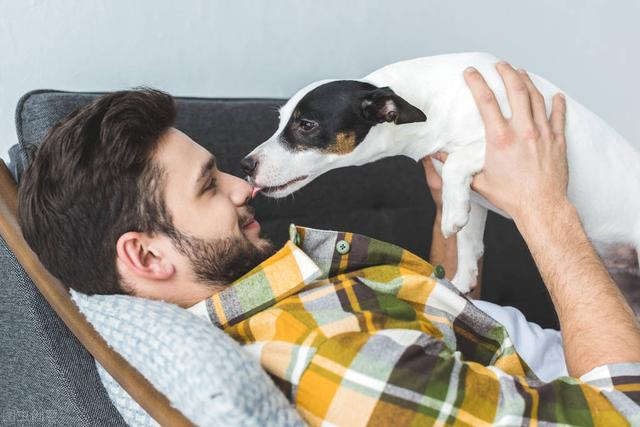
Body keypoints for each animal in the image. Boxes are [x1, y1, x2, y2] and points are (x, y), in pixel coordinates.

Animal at [241, 51, 640, 294]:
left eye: (306, 125)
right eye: (281, 121)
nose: (245, 165)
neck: (428, 101)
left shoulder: (504, 143)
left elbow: (458, 169)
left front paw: (451, 216)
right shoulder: (475, 192)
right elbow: (469, 239)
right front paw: (464, 277)